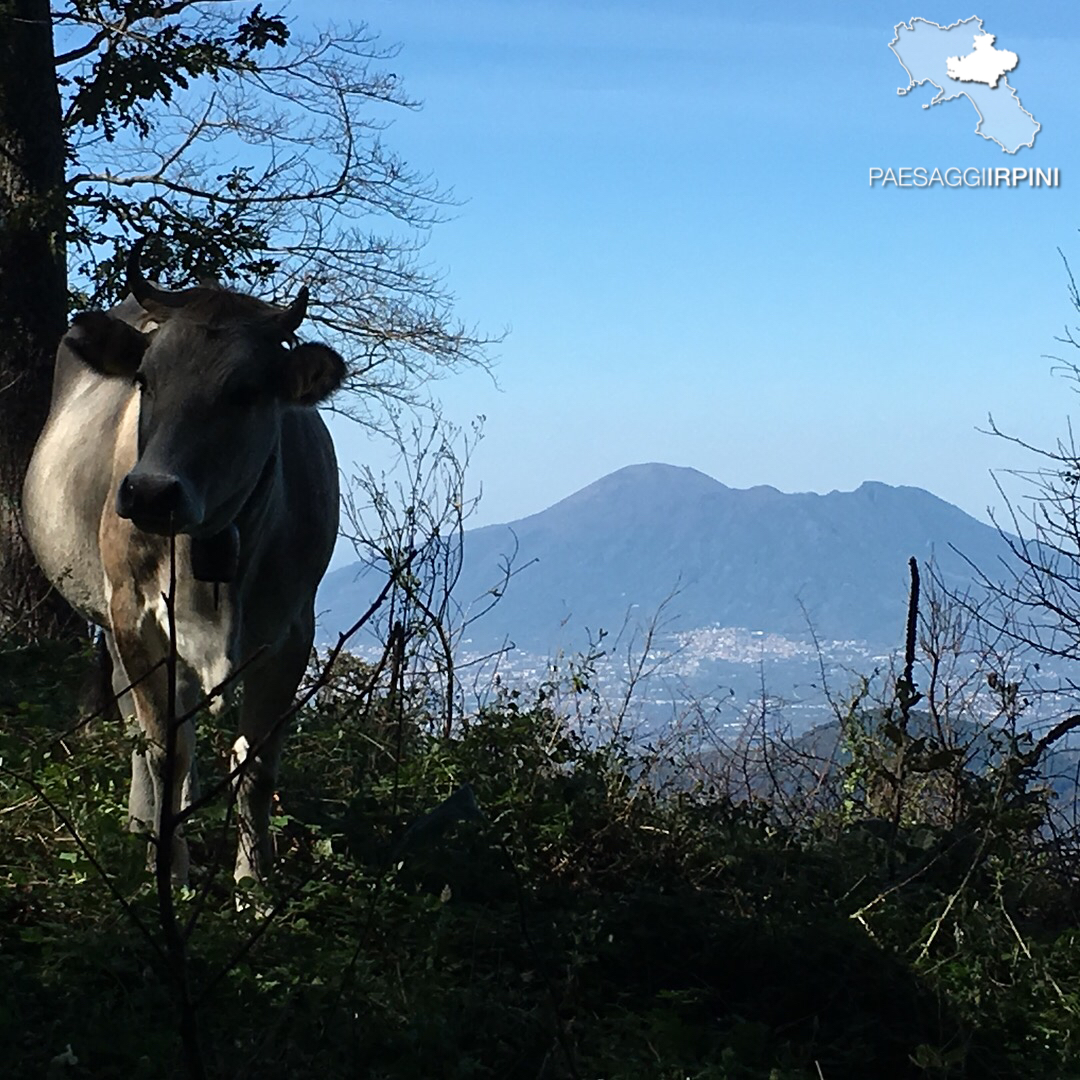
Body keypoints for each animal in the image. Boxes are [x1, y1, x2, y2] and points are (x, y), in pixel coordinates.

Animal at [23, 245, 343, 885]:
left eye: (247, 391)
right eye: (145, 379)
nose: (150, 492)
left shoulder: (294, 628)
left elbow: (256, 764)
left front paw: (254, 883)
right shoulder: (132, 613)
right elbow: (163, 750)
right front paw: (168, 871)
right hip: (113, 617)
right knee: (139, 726)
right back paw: (144, 824)